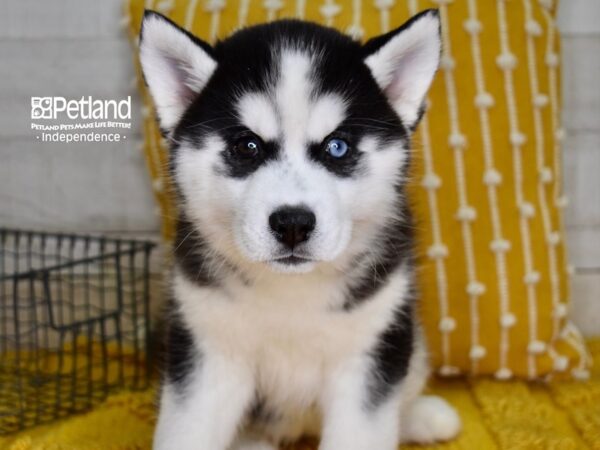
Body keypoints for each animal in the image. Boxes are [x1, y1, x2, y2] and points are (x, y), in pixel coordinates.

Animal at [139, 10, 460, 450]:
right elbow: (186, 432)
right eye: (247, 146)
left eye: (337, 147)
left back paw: (422, 416)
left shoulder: (370, 351)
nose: (292, 223)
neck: (291, 294)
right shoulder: (207, 352)